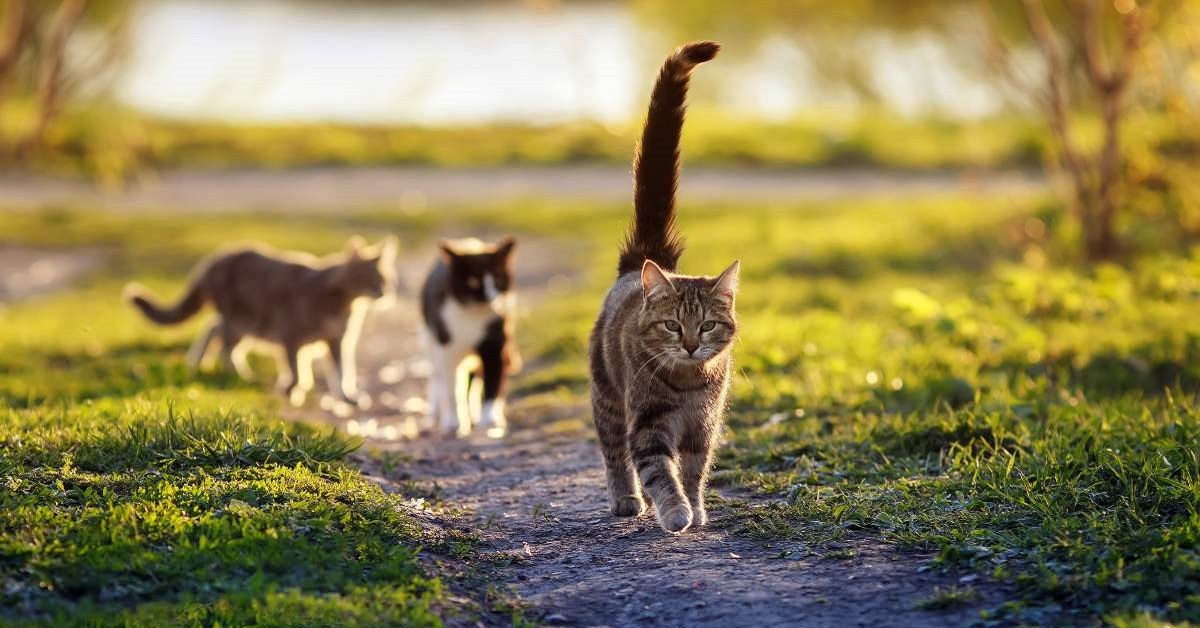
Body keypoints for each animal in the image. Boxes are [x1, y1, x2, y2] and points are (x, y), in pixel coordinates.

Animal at [126, 237, 398, 408]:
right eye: (369, 278)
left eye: (386, 279)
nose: (383, 292)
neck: (343, 303)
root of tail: (215, 259)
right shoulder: (291, 335)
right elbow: (297, 370)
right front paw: (291, 389)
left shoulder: (338, 341)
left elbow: (342, 371)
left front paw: (347, 396)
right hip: (241, 320)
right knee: (226, 346)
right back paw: (240, 374)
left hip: (244, 322)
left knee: (213, 329)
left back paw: (198, 361)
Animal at [420, 235, 518, 437]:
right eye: (473, 281)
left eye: (497, 279)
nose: (490, 297)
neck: (472, 317)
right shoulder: (446, 349)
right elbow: (451, 389)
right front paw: (453, 421)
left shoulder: (494, 346)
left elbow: (493, 383)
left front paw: (489, 418)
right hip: (430, 343)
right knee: (438, 379)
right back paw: (437, 414)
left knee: (475, 382)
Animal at [585, 41, 734, 535]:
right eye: (672, 325)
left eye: (707, 326)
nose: (689, 345)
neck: (688, 385)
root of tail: (643, 258)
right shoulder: (648, 426)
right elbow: (659, 472)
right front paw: (675, 512)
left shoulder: (703, 428)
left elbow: (692, 472)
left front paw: (696, 508)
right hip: (609, 400)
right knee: (615, 454)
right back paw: (627, 499)